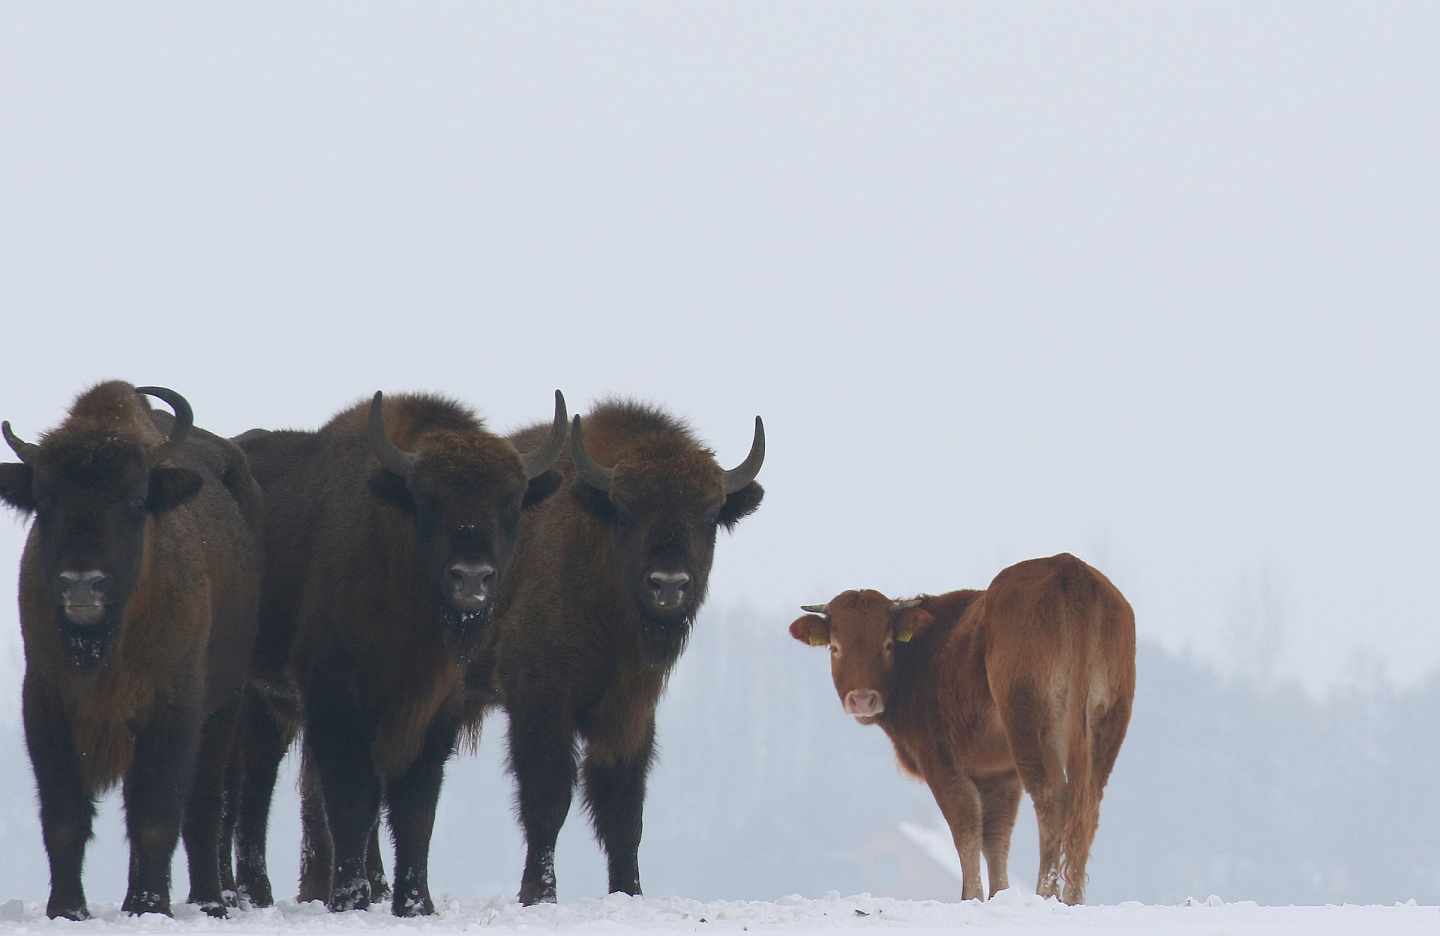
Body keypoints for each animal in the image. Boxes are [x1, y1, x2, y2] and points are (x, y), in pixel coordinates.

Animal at [0, 380, 262, 915]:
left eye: (135, 500)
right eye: (45, 500)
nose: (82, 584)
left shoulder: (173, 707)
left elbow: (155, 815)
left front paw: (147, 906)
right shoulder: (46, 701)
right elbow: (64, 816)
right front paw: (67, 909)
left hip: (224, 710)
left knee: (205, 810)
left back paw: (209, 900)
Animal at [223, 385, 561, 910]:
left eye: (510, 500)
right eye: (429, 499)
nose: (471, 578)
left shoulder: (436, 712)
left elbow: (415, 808)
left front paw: (416, 903)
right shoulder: (337, 702)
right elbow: (352, 799)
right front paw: (350, 899)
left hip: (269, 706)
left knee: (253, 786)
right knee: (243, 792)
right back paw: (244, 895)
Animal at [478, 397, 766, 898]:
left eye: (709, 516)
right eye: (627, 511)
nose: (668, 585)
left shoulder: (630, 710)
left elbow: (623, 809)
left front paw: (628, 892)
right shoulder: (538, 698)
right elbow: (548, 797)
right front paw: (538, 894)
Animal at [789, 552, 1134, 904]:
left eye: (886, 644)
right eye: (835, 646)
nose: (862, 699)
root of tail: (1067, 568)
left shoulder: (941, 761)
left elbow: (966, 827)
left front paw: (972, 896)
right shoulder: (999, 774)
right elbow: (996, 837)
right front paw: (999, 895)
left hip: (1030, 720)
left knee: (1051, 798)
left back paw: (1045, 894)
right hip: (1108, 721)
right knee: (1088, 805)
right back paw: (1074, 899)